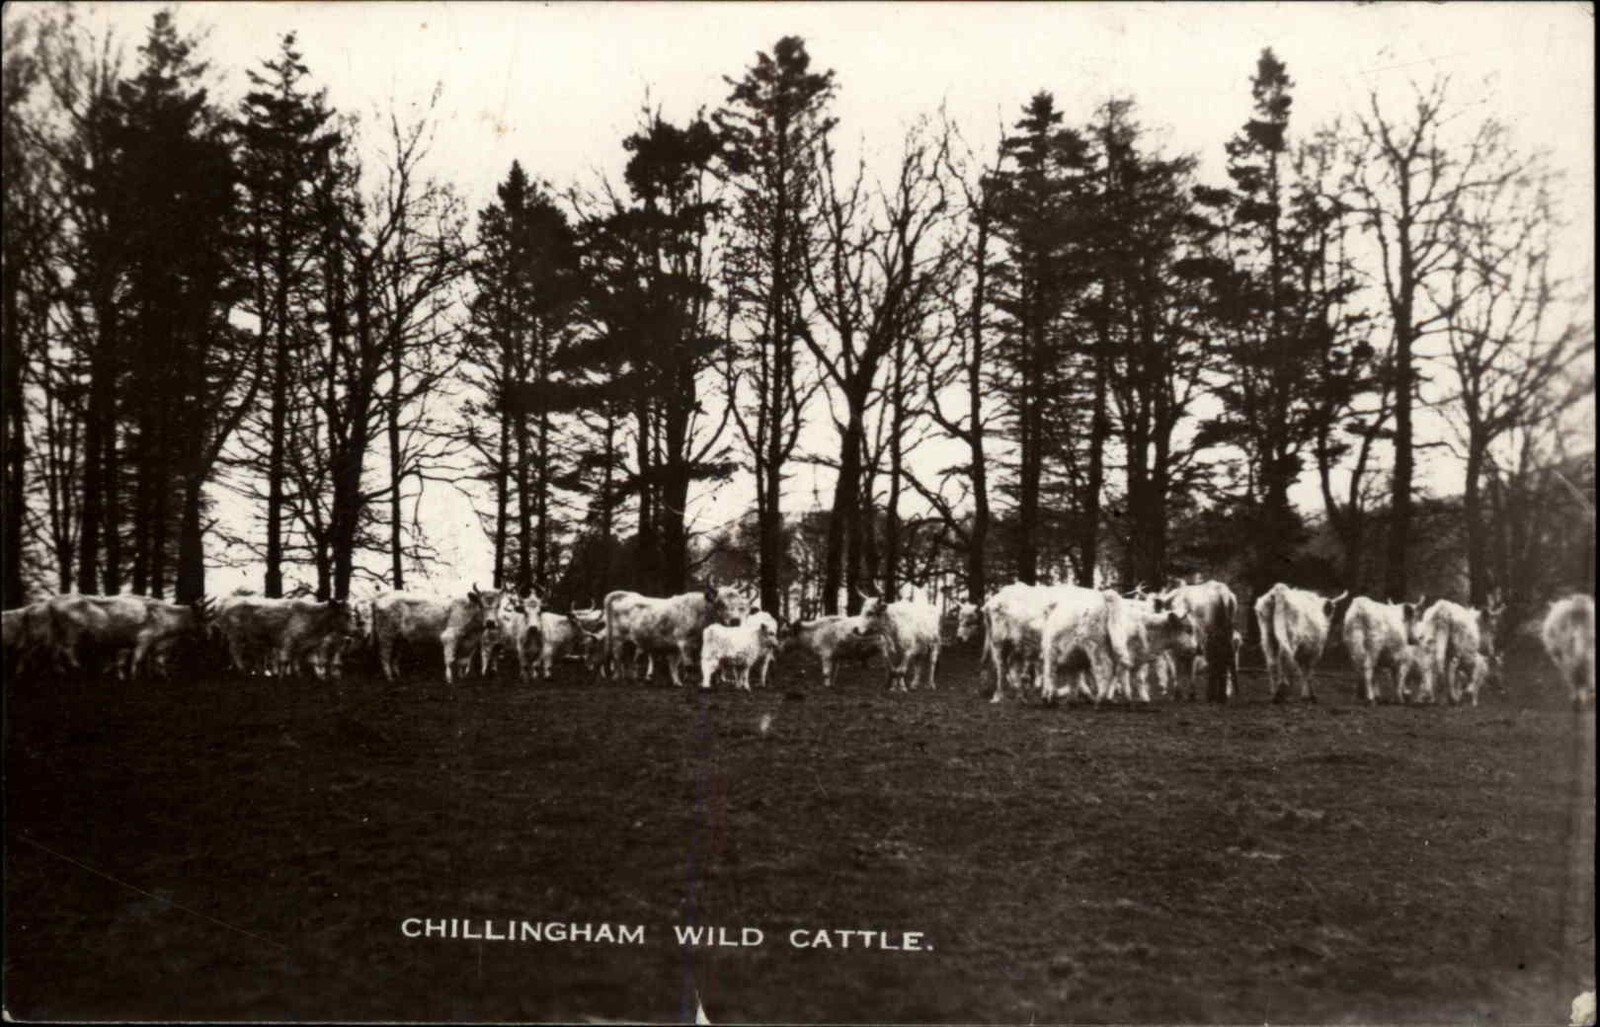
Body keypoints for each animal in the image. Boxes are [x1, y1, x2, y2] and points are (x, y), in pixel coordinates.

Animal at [601, 584, 753, 687]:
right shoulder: (685, 643)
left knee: (629, 660)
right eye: (720, 603)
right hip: (618, 640)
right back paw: (618, 679)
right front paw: (690, 682)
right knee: (618, 658)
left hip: (632, 642)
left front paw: (679, 682)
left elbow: (676, 665)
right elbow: (689, 666)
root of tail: (625, 594)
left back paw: (632, 679)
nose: (735, 621)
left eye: (741, 606)